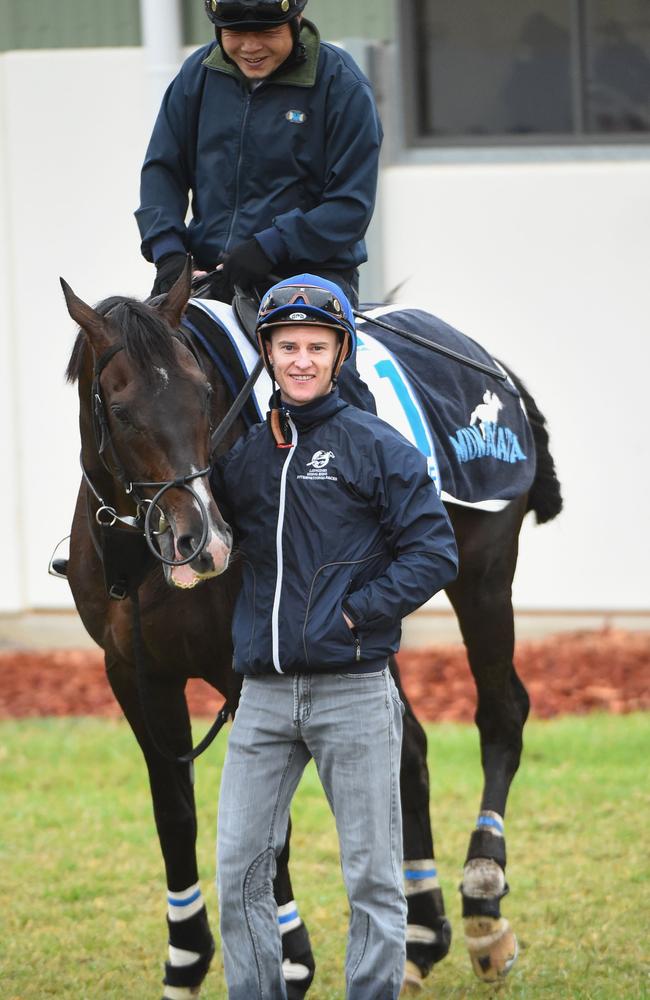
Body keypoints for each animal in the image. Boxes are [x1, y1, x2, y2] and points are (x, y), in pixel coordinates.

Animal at [62, 268, 560, 1000]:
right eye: (122, 412)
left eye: (203, 395)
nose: (204, 542)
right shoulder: (133, 674)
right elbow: (175, 810)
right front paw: (187, 956)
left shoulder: (248, 669)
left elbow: (273, 824)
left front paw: (289, 957)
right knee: (408, 749)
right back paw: (418, 935)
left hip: (484, 577)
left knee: (502, 713)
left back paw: (482, 902)